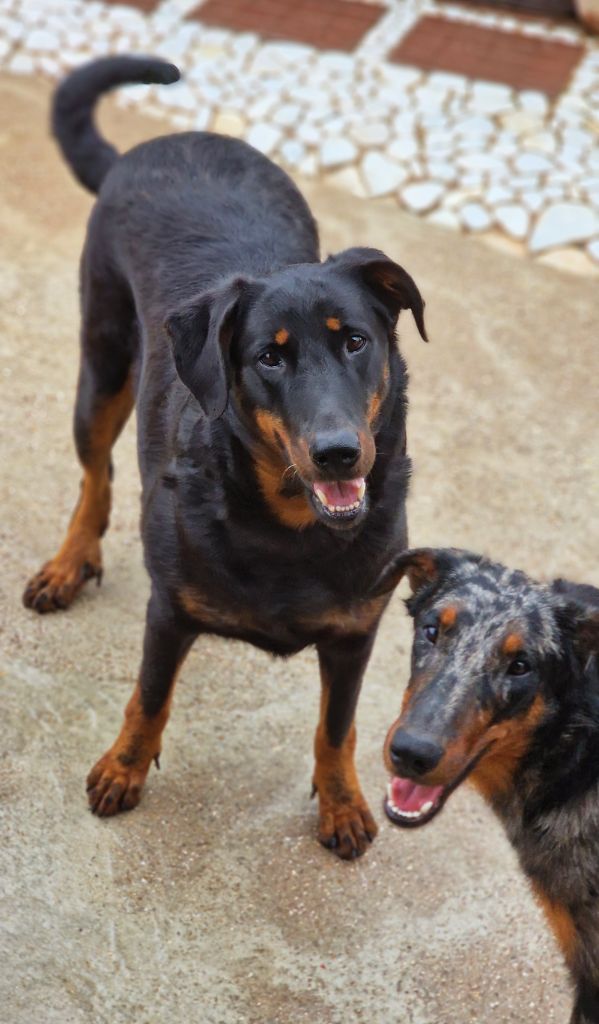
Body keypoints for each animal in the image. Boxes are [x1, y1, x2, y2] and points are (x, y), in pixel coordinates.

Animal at [22, 54, 425, 856]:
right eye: (269, 358)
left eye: (355, 341)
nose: (339, 454)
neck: (289, 528)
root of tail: (157, 144)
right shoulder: (170, 609)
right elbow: (149, 696)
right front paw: (124, 767)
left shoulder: (354, 632)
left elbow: (336, 725)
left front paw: (340, 801)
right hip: (101, 366)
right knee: (95, 475)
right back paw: (70, 560)